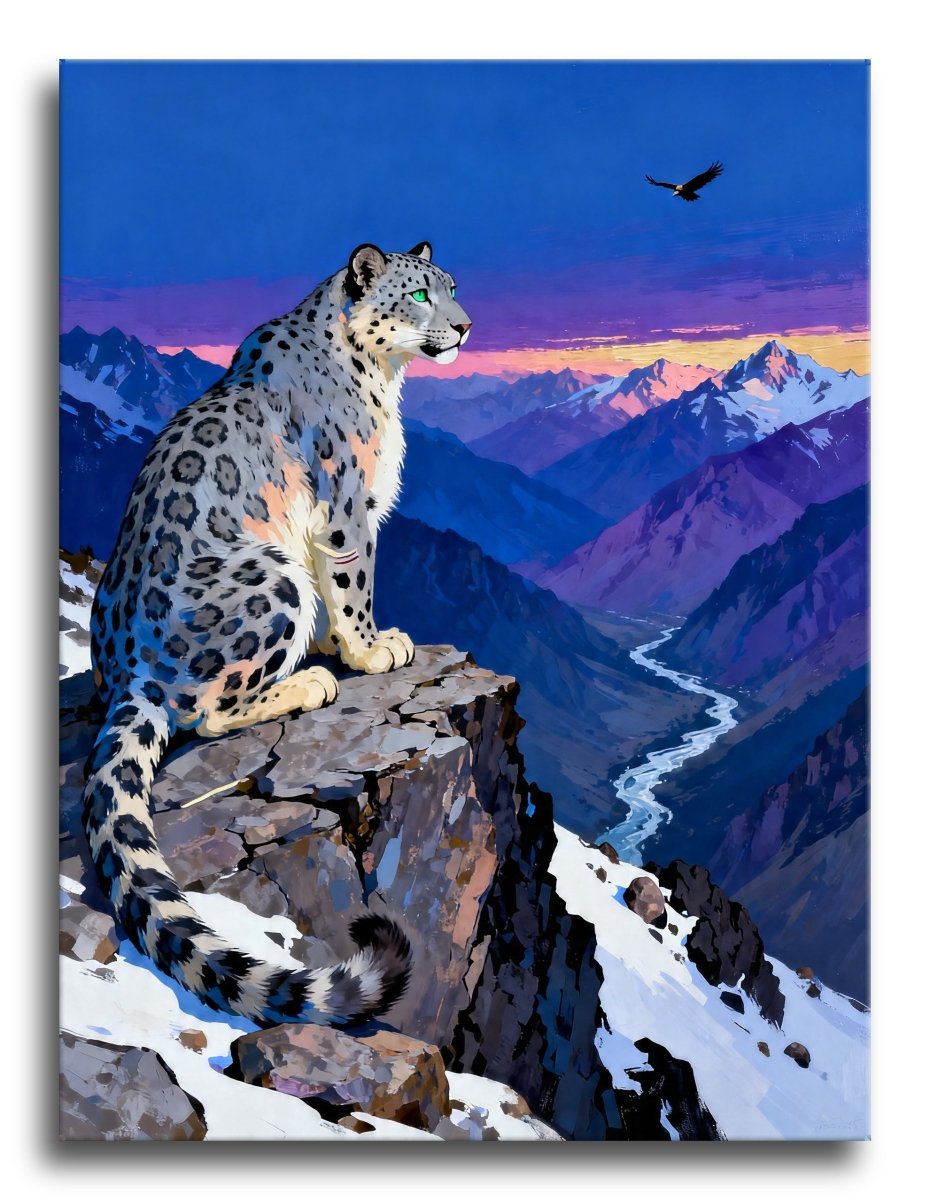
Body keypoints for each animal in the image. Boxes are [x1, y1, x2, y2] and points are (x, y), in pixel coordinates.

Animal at [82, 242, 471, 1027]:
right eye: (418, 293)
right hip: (271, 578)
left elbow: (338, 592)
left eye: (450, 286)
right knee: (205, 711)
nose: (465, 325)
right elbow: (352, 584)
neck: (384, 379)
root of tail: (128, 673)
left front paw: (339, 644)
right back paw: (307, 683)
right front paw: (369, 649)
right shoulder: (349, 508)